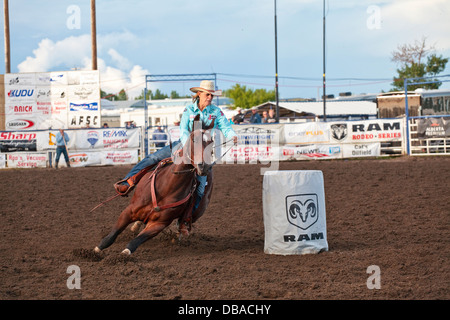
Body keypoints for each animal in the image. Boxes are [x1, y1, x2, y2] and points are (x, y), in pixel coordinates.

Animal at [94, 115, 215, 255]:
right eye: (194, 139)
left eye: (211, 141)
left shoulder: (159, 224)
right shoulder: (129, 211)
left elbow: (135, 241)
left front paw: (124, 254)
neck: (167, 188)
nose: (204, 166)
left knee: (181, 226)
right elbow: (112, 235)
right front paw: (96, 250)